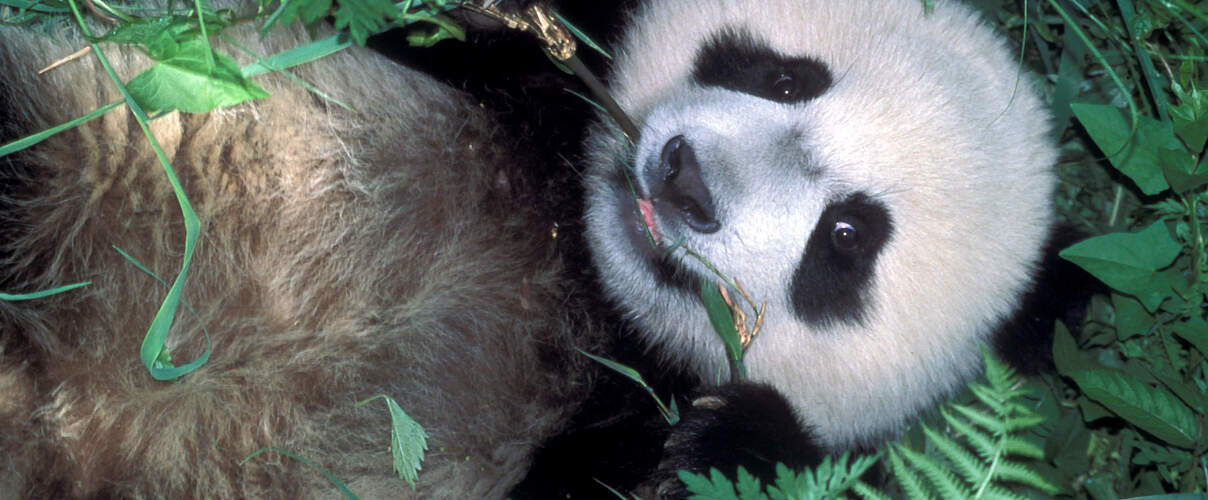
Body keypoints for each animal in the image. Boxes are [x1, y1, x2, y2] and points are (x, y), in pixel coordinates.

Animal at [0, 0, 1059, 498]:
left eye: (846, 238)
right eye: (786, 75)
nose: (684, 181)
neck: (579, 265)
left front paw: (717, 443)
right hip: (101, 148)